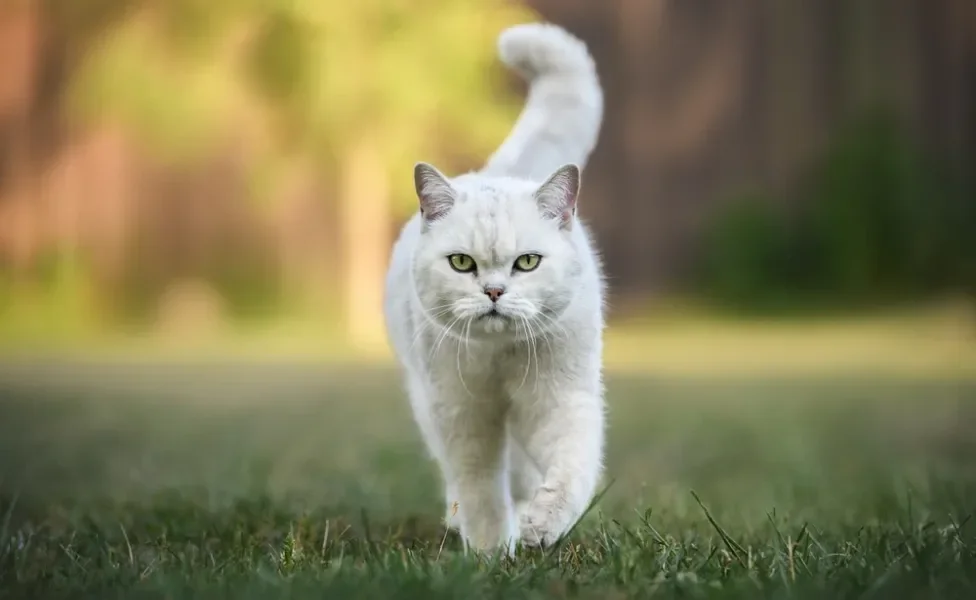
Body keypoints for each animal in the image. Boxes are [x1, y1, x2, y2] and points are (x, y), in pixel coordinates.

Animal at [382, 22, 604, 552]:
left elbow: (572, 469)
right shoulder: (461, 414)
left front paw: (542, 526)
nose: (495, 293)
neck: (501, 360)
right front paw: (488, 551)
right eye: (462, 263)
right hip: (427, 402)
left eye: (528, 263)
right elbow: (479, 487)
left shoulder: (562, 400)